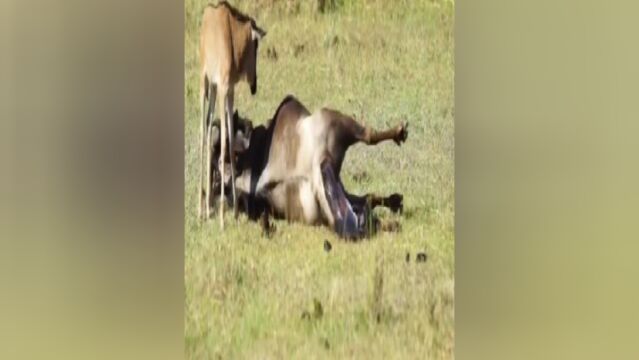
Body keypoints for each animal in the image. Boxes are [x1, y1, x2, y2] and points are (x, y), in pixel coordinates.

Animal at [201, 2, 268, 228]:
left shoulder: (229, 91)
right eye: (255, 45)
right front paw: (222, 216)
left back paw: (207, 207)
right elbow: (222, 144)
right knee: (202, 133)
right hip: (205, 84)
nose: (255, 85)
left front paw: (236, 211)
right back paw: (201, 209)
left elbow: (229, 142)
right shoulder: (223, 89)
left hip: (213, 90)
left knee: (207, 128)